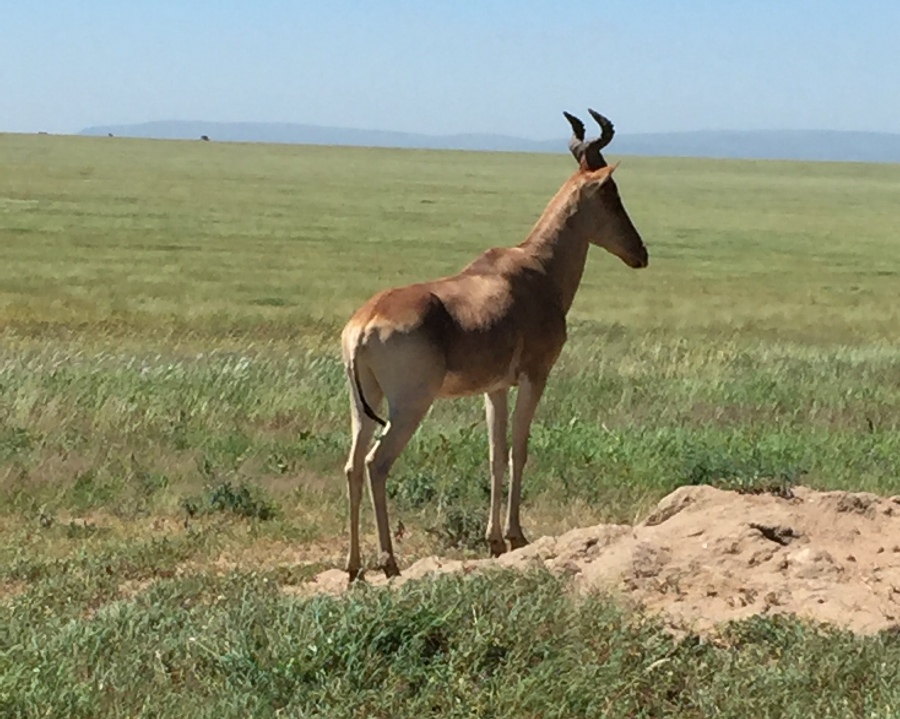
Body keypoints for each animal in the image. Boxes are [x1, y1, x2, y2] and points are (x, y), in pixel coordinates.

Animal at [340, 107, 648, 584]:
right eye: (611, 193)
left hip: (364, 402)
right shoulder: (536, 375)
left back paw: (354, 567)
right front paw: (516, 536)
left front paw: (495, 540)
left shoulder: (495, 388)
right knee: (376, 463)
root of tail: (365, 322)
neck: (534, 268)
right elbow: (520, 448)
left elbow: (495, 454)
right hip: (410, 404)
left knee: (353, 465)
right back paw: (389, 562)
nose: (640, 253)